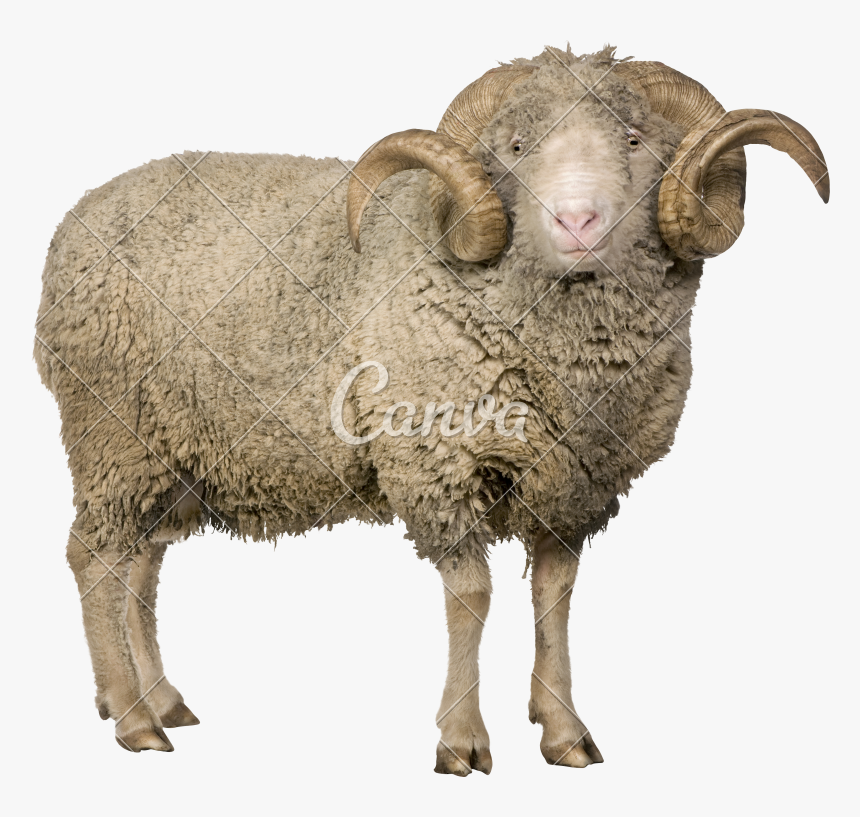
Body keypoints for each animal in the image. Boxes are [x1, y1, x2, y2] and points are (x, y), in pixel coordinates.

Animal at [34, 44, 828, 772]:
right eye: (517, 147)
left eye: (635, 140)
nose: (578, 222)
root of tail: (74, 223)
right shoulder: (437, 463)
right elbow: (472, 597)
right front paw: (462, 739)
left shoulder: (575, 485)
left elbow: (555, 597)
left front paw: (564, 729)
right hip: (113, 433)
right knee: (94, 559)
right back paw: (134, 718)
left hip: (170, 450)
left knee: (140, 565)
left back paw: (160, 698)